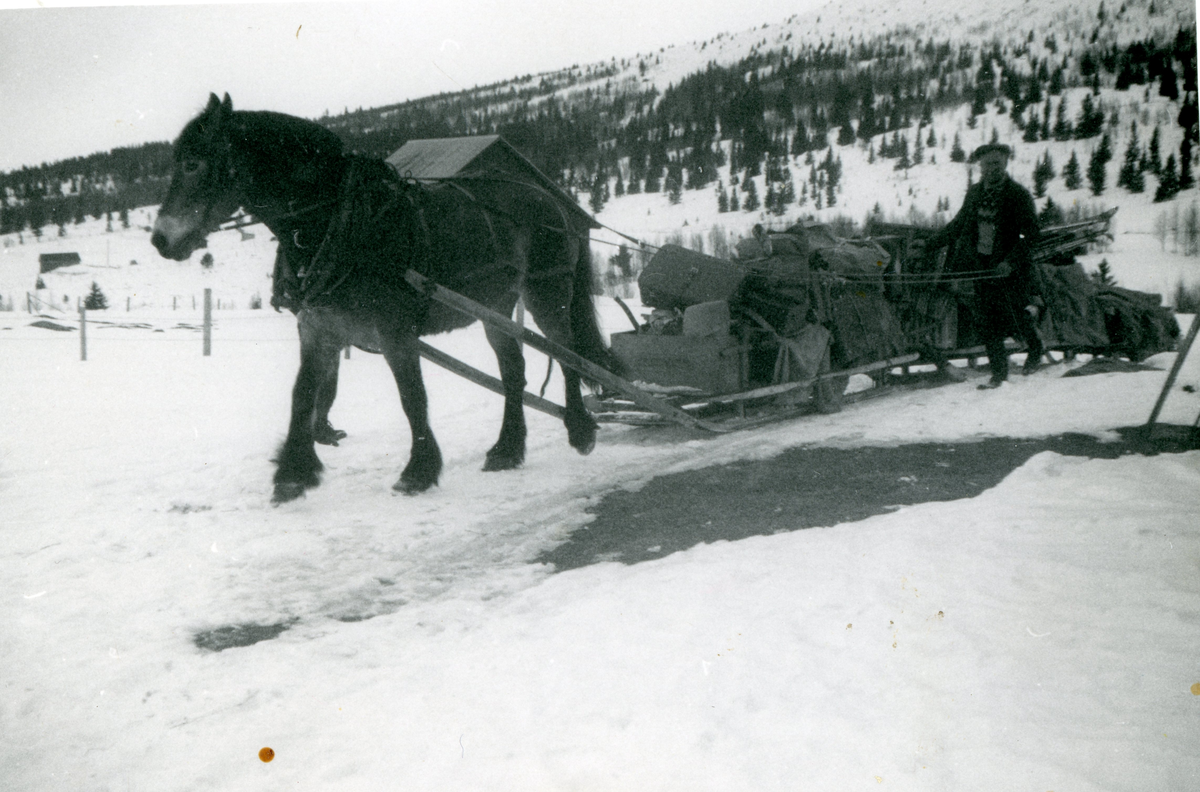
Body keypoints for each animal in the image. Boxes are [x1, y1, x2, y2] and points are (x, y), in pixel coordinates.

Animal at [153, 93, 614, 501]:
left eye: (192, 163)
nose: (160, 239)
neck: (336, 224)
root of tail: (549, 200)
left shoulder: (395, 331)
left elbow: (412, 397)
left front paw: (418, 471)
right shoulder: (318, 328)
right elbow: (303, 396)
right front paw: (293, 474)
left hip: (546, 289)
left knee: (568, 354)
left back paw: (579, 429)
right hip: (495, 306)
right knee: (513, 371)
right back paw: (507, 449)